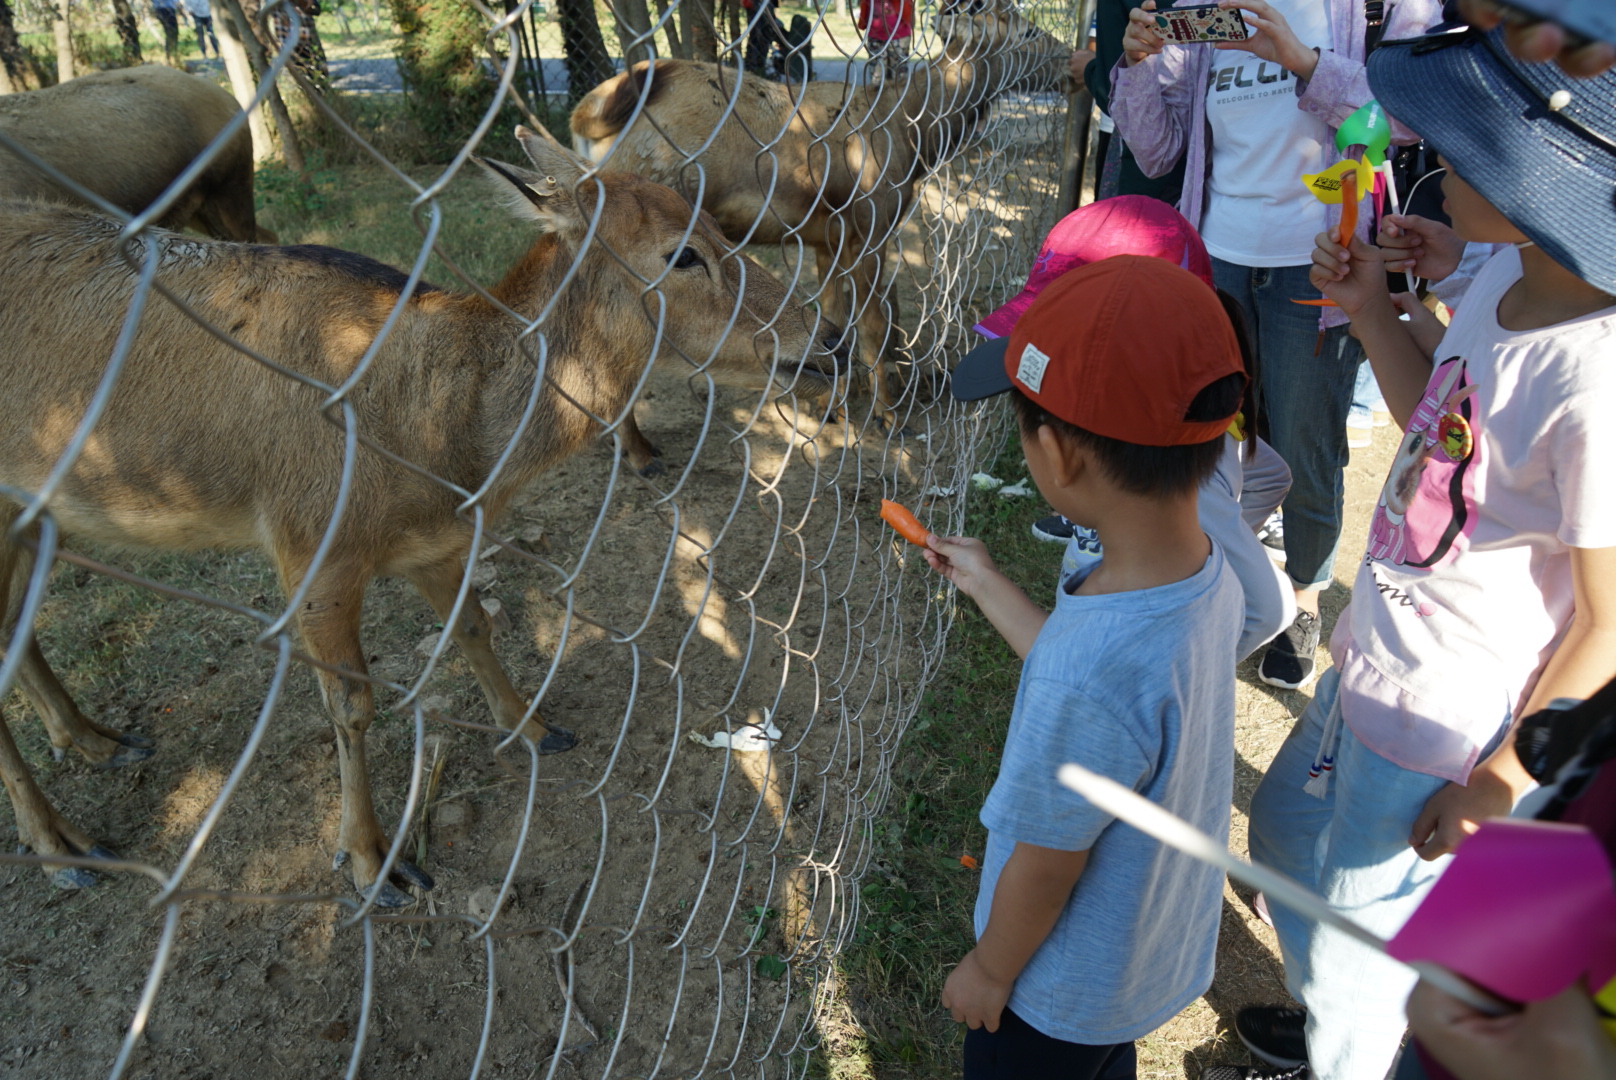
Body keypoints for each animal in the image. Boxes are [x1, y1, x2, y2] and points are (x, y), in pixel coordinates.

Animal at [0, 125, 846, 906]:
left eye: (726, 230)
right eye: (683, 254)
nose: (829, 337)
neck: (435, 451)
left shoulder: (437, 542)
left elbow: (473, 625)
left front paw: (535, 728)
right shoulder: (310, 544)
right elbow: (351, 702)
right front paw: (373, 862)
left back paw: (97, 742)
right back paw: (65, 845)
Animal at [569, 0, 1057, 463]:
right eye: (1028, 31)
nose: (1065, 59)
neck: (915, 140)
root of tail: (584, 116)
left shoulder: (827, 236)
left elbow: (835, 317)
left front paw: (833, 407)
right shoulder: (869, 226)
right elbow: (873, 324)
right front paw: (887, 417)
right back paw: (638, 452)